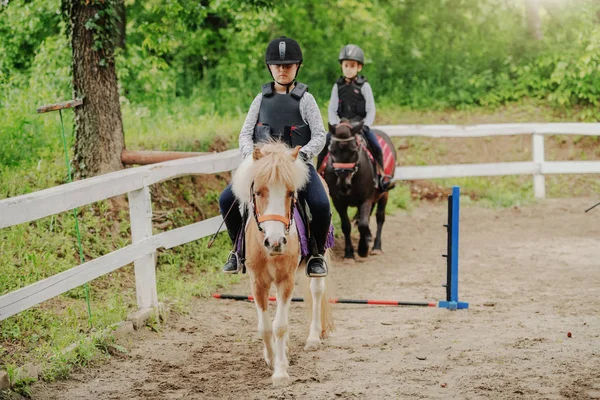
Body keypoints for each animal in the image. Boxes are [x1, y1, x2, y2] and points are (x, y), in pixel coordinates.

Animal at [231, 142, 332, 386]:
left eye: (289, 193)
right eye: (258, 192)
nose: (275, 242)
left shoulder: (285, 280)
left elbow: (280, 326)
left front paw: (280, 372)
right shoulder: (258, 282)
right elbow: (265, 327)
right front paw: (271, 358)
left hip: (319, 259)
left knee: (317, 291)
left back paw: (313, 338)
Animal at [322, 120, 396, 260]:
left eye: (353, 151)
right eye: (332, 151)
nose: (344, 185)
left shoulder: (366, 199)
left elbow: (363, 224)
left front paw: (362, 249)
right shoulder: (338, 201)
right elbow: (346, 225)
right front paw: (349, 253)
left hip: (385, 194)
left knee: (379, 217)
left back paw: (376, 247)